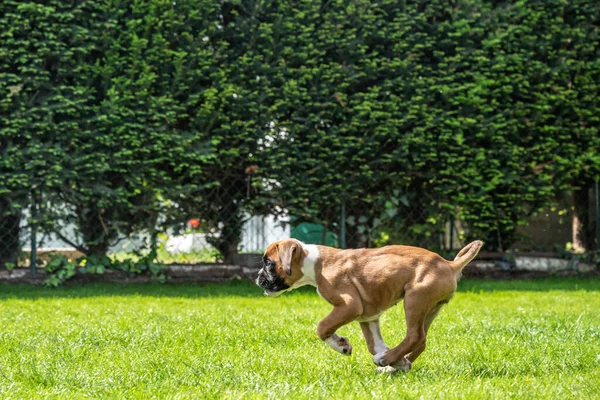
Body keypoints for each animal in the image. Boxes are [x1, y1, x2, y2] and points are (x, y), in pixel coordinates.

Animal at [254, 238, 482, 372]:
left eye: (268, 263)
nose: (258, 279)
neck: (315, 263)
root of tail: (449, 264)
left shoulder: (349, 306)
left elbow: (323, 327)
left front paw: (341, 345)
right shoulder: (368, 316)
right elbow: (375, 343)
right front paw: (397, 362)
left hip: (415, 299)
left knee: (415, 336)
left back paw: (386, 360)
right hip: (430, 309)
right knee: (421, 341)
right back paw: (395, 364)